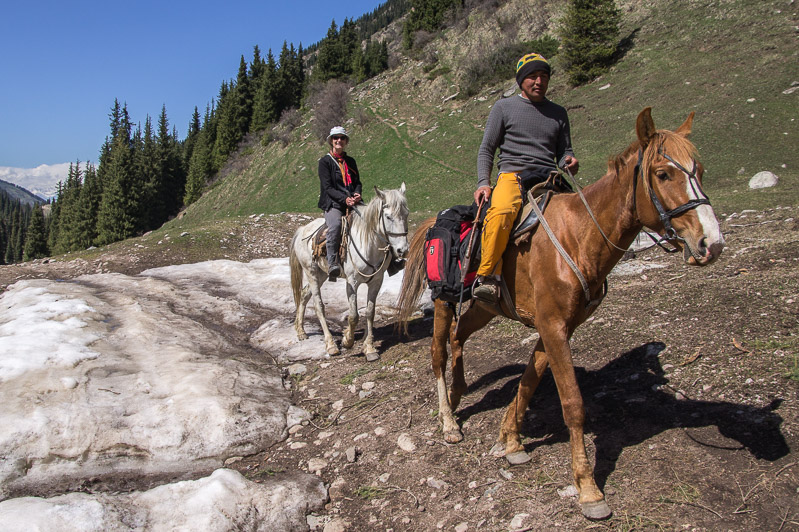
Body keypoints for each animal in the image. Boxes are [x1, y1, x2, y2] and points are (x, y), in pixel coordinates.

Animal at [290, 184, 410, 362]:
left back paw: (301, 331)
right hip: (311, 273)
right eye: (388, 217)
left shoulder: (377, 281)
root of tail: (302, 230)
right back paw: (331, 345)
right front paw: (348, 340)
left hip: (322, 274)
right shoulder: (352, 282)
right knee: (318, 306)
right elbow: (353, 316)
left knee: (304, 294)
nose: (403, 250)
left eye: (406, 214)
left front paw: (369, 348)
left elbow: (370, 312)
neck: (369, 244)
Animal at [396, 108, 728, 520]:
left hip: (485, 307)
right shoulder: (553, 325)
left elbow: (529, 379)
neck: (579, 237)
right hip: (443, 301)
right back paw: (447, 422)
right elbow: (572, 403)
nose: (711, 243)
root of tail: (435, 223)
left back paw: (458, 396)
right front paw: (588, 488)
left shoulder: (557, 326)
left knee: (459, 338)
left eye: (699, 170)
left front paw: (510, 440)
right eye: (664, 173)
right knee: (439, 353)